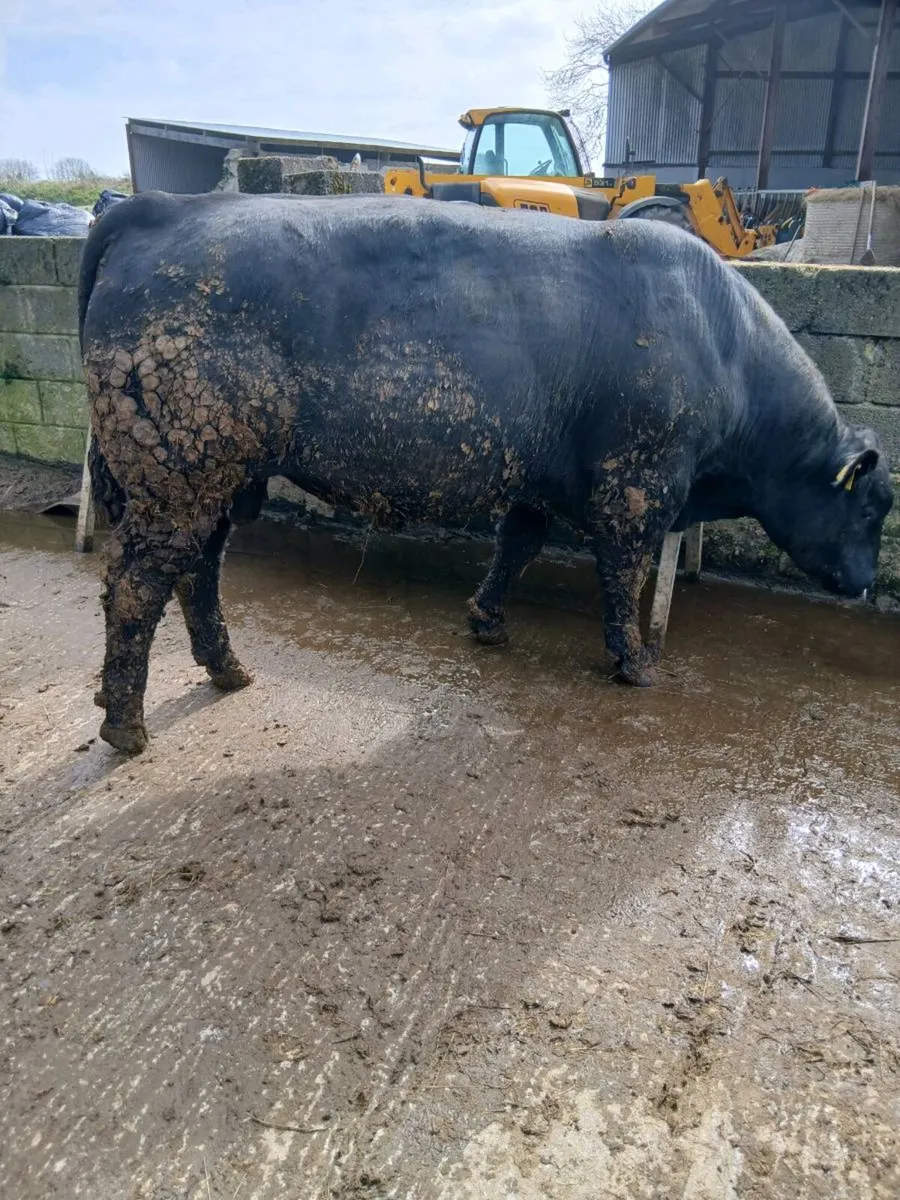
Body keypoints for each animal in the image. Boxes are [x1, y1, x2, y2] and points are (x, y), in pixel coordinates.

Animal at [79, 191, 893, 753]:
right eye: (871, 508)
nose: (864, 584)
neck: (723, 346)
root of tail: (160, 205)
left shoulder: (540, 482)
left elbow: (518, 545)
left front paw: (487, 619)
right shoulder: (638, 486)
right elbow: (622, 573)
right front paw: (634, 662)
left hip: (213, 480)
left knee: (198, 572)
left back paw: (227, 671)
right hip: (180, 472)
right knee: (138, 582)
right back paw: (126, 724)